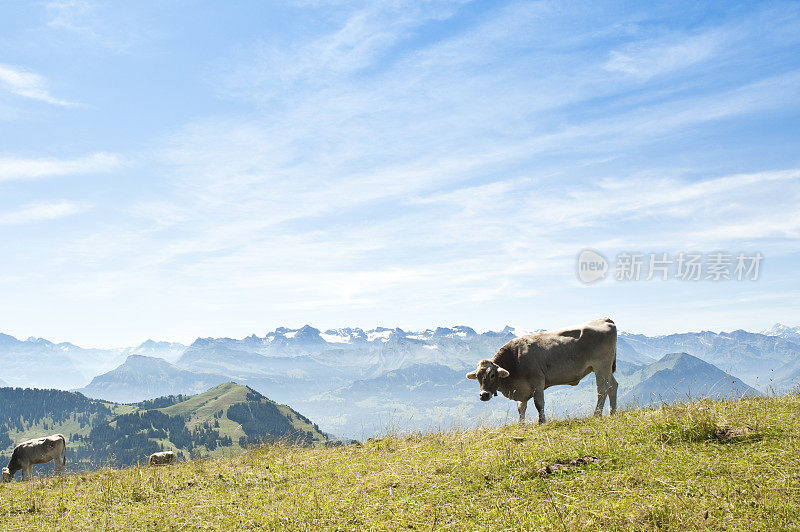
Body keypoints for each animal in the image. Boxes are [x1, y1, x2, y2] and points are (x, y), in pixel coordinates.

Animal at [462, 316, 620, 424]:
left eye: (493, 375)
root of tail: (604, 319)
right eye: (477, 376)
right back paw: (612, 412)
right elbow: (521, 407)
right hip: (605, 368)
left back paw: (597, 414)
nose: (483, 395)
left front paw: (541, 421)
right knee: (613, 386)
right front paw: (521, 424)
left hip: (601, 366)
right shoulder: (522, 389)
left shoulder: (537, 382)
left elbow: (539, 404)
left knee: (603, 389)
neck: (515, 359)